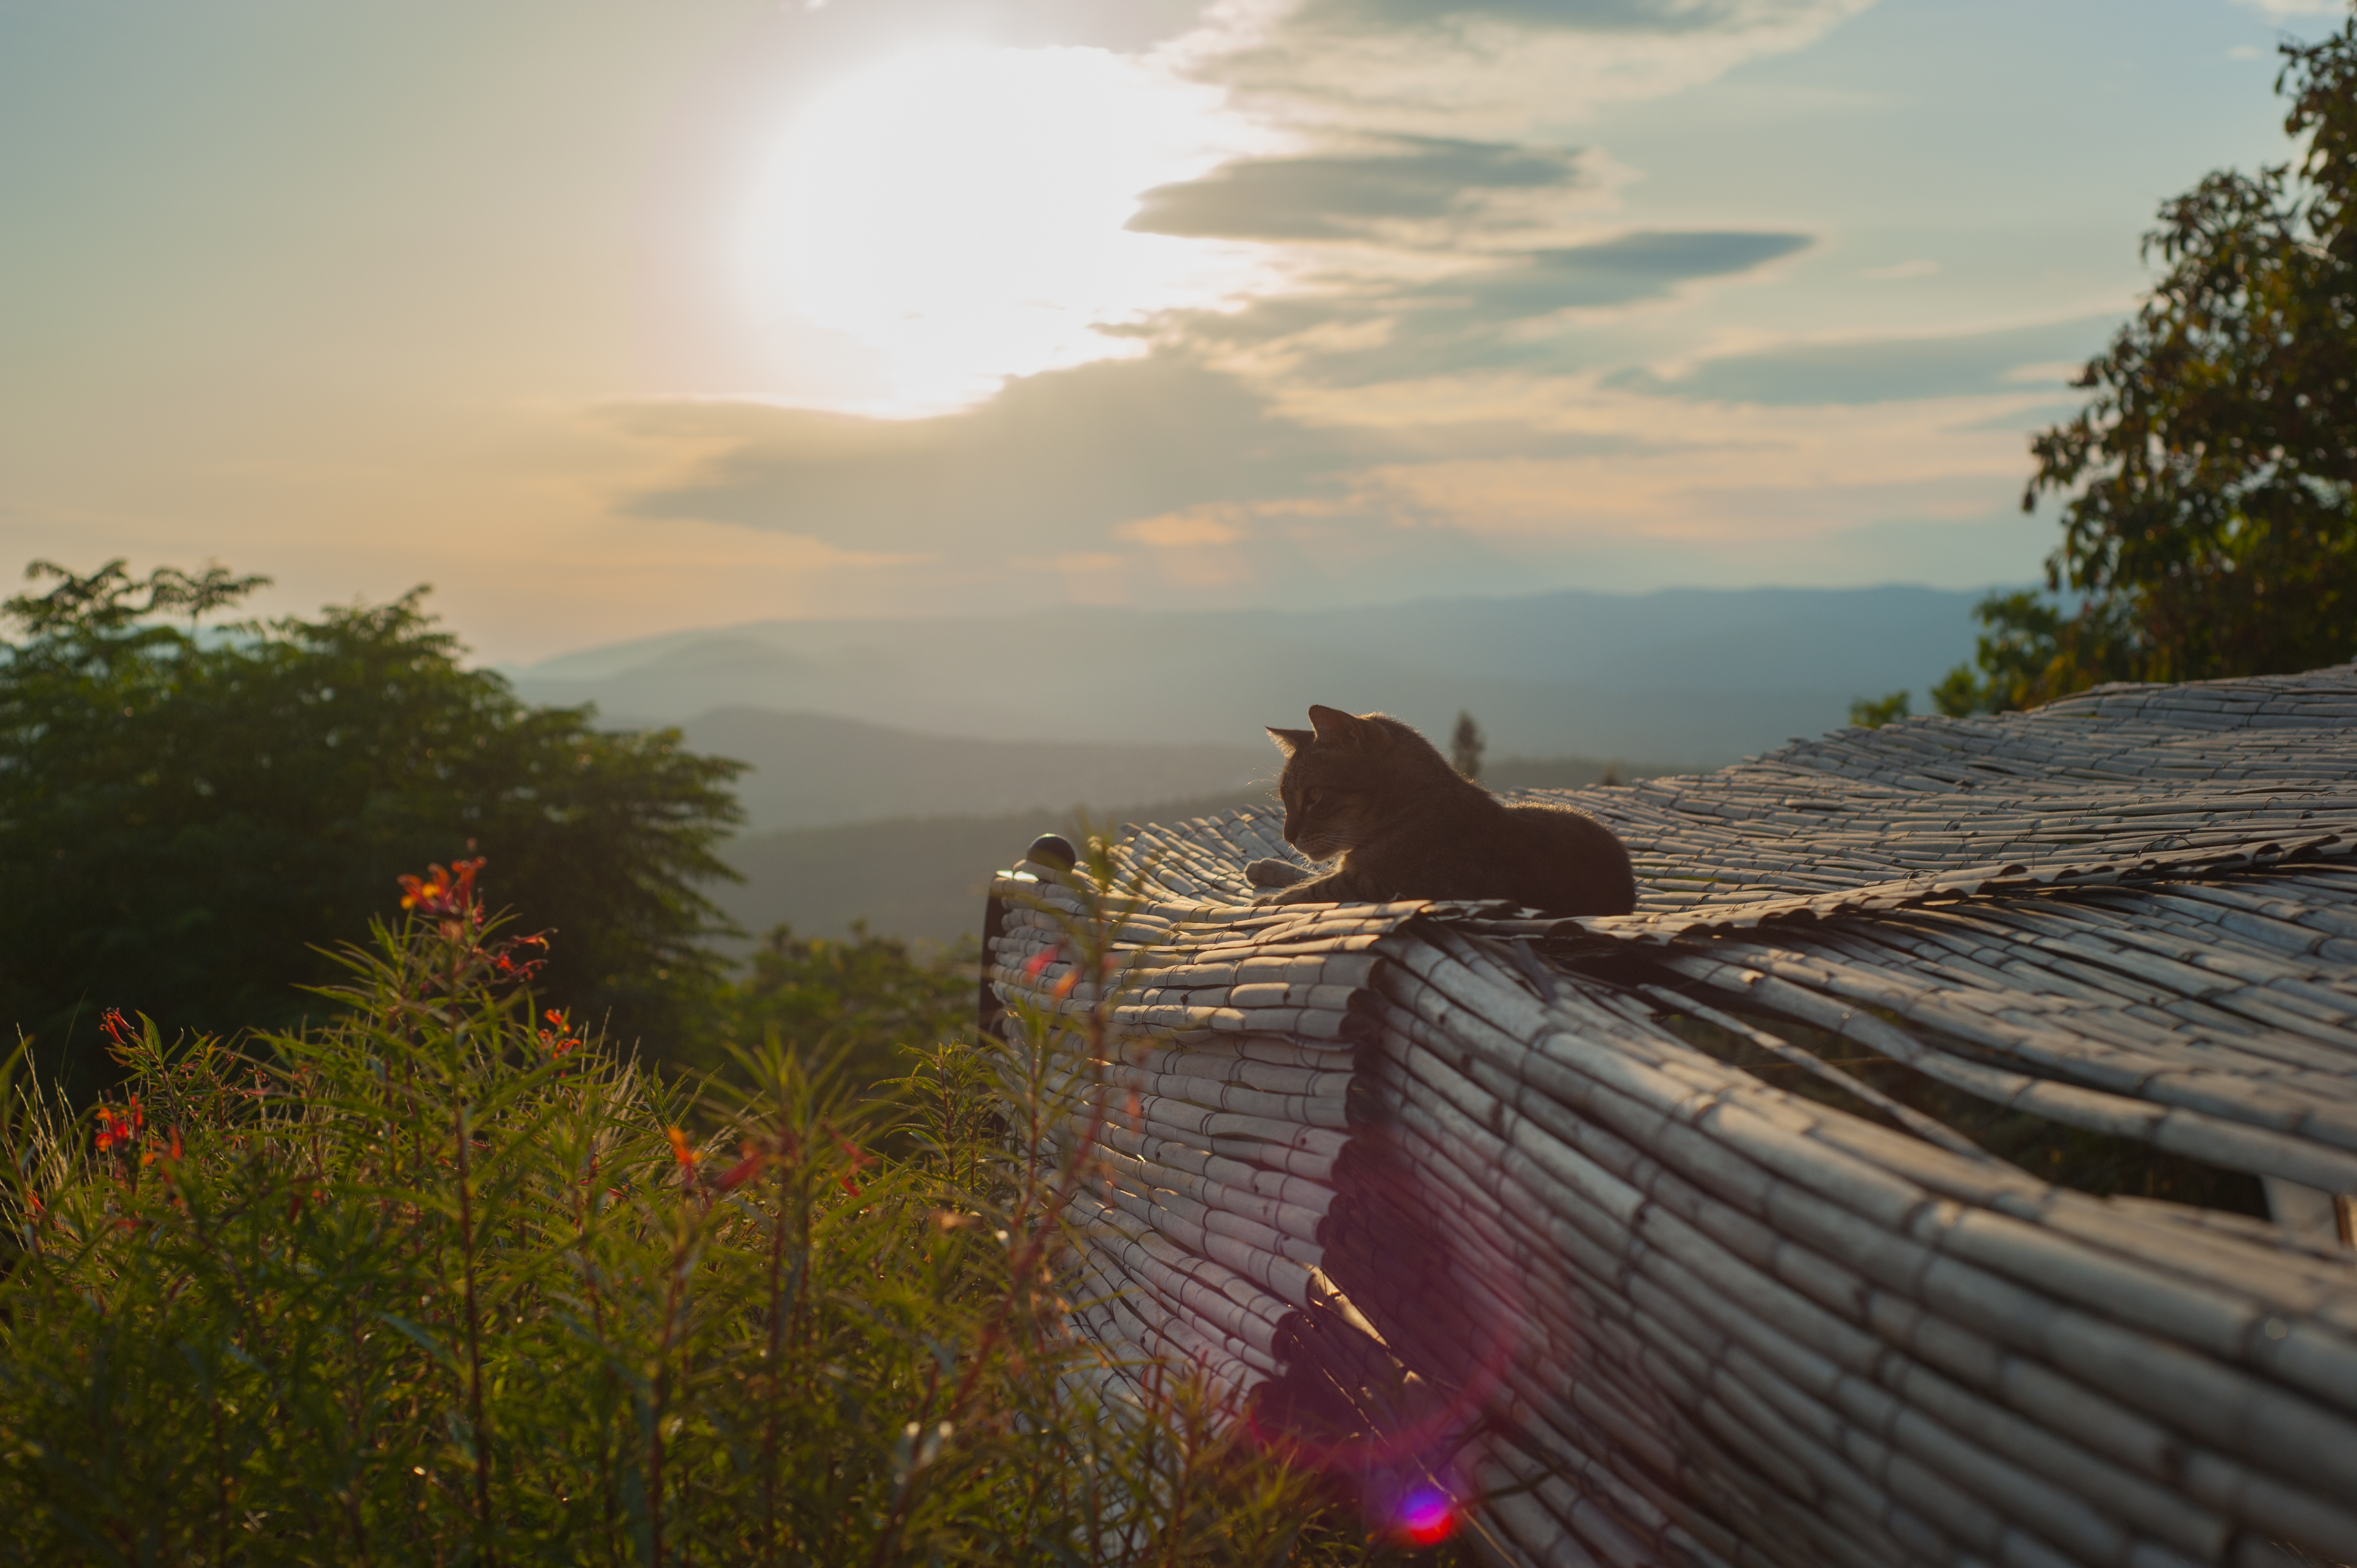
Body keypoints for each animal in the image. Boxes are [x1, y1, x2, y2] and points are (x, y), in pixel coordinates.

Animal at [1254, 698, 1640, 910]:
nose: (1287, 836)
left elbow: (1319, 887)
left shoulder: (1394, 887)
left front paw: (1269, 899)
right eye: (1285, 799)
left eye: (1314, 796)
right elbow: (1316, 876)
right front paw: (1270, 872)